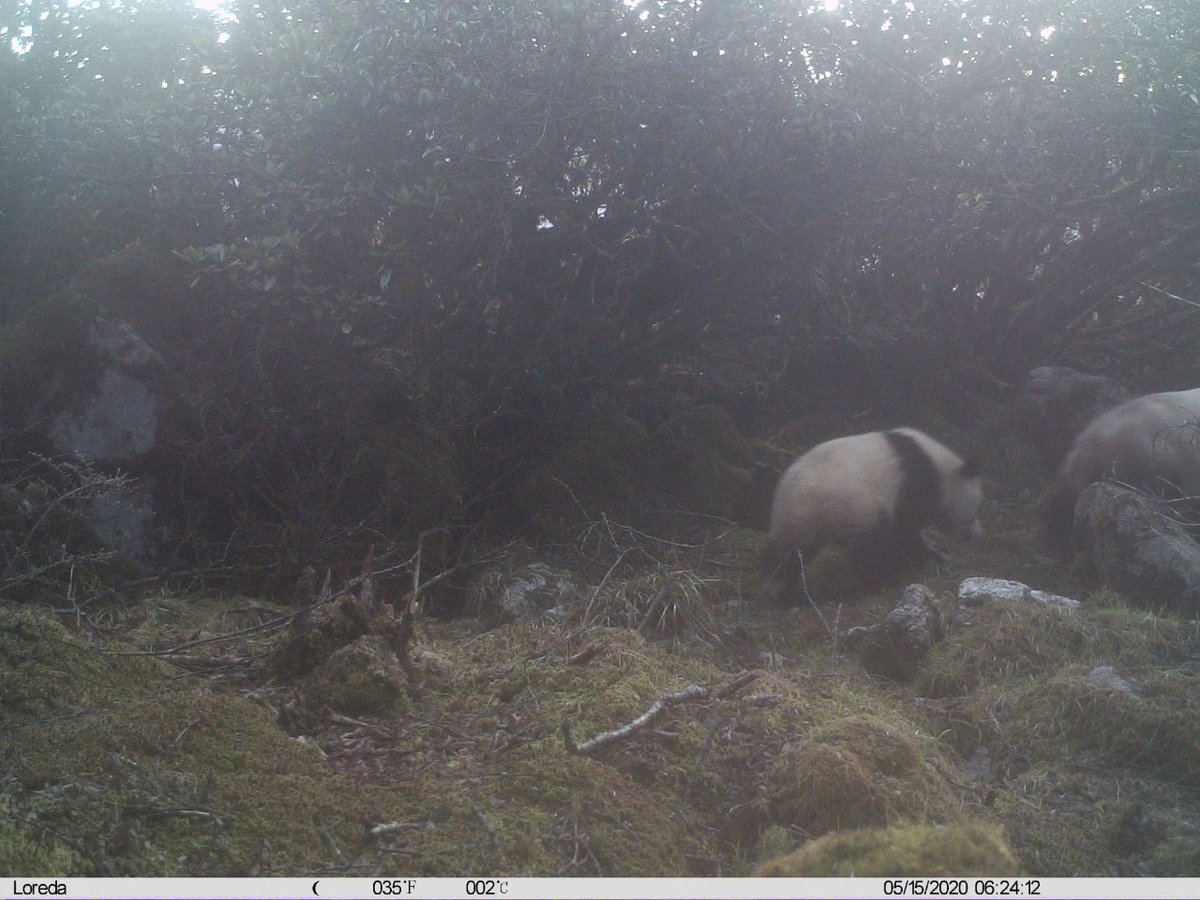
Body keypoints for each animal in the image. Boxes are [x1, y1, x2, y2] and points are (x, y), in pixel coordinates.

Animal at [766, 428, 983, 596]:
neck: (941, 468)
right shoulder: (914, 485)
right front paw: (930, 557)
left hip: (802, 522)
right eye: (974, 513)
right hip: (845, 507)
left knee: (791, 555)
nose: (977, 535)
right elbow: (905, 530)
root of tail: (789, 497)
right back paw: (880, 579)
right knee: (868, 546)